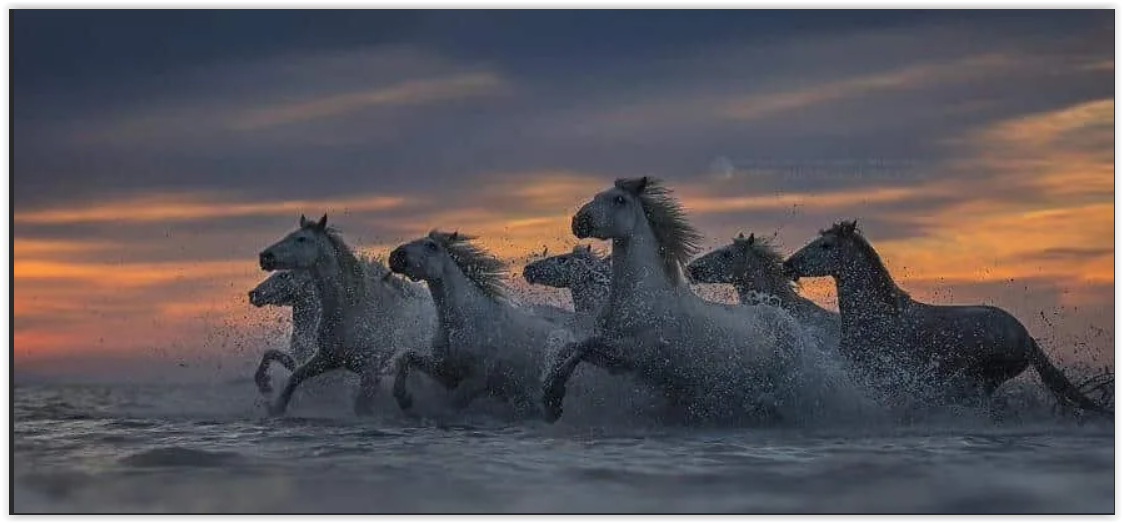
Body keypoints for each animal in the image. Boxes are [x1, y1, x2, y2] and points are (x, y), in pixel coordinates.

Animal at [390, 230, 574, 417]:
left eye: (431, 246)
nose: (395, 256)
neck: (462, 322)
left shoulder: (475, 382)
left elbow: (452, 405)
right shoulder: (446, 373)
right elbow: (407, 357)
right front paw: (403, 399)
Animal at [539, 177, 822, 421]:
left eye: (619, 200)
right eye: (597, 196)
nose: (579, 221)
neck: (642, 298)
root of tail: (789, 322)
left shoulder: (635, 353)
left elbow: (583, 347)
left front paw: (553, 402)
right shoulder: (616, 359)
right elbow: (571, 348)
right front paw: (549, 398)